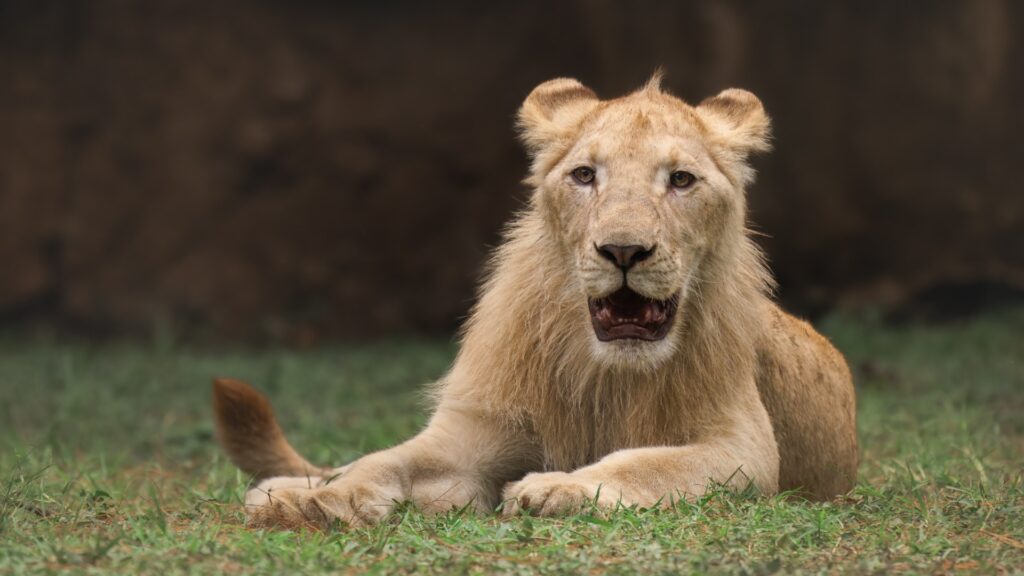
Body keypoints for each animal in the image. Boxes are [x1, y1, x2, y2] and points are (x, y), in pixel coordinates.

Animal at [213, 73, 858, 530]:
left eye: (680, 180)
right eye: (584, 175)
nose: (624, 250)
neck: (607, 373)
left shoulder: (743, 447)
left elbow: (649, 460)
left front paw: (560, 487)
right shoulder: (473, 434)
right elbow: (385, 461)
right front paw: (320, 504)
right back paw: (288, 489)